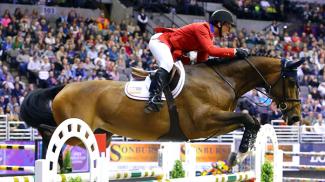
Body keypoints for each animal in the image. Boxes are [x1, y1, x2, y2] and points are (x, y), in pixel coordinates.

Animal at [19, 55, 304, 168]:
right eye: (292, 82)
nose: (296, 117)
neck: (222, 79)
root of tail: (65, 86)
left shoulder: (213, 124)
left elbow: (250, 121)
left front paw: (240, 153)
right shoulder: (203, 121)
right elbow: (249, 118)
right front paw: (240, 154)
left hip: (101, 133)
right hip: (79, 128)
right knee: (50, 131)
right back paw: (52, 158)